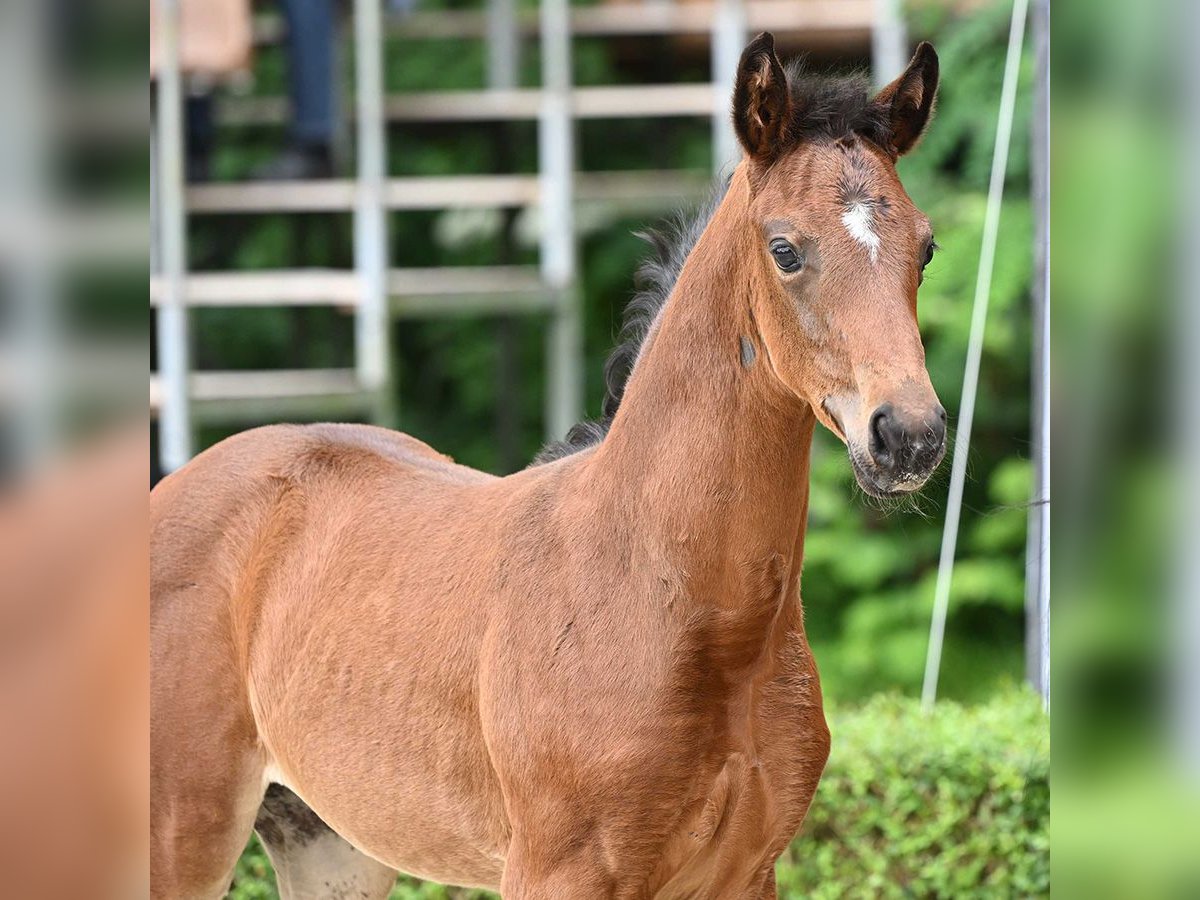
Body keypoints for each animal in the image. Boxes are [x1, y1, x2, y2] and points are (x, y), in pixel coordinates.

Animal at [150, 35, 940, 900]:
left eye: (926, 248)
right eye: (786, 249)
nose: (909, 435)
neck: (672, 596)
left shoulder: (745, 875)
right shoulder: (557, 871)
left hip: (327, 844)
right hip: (182, 832)